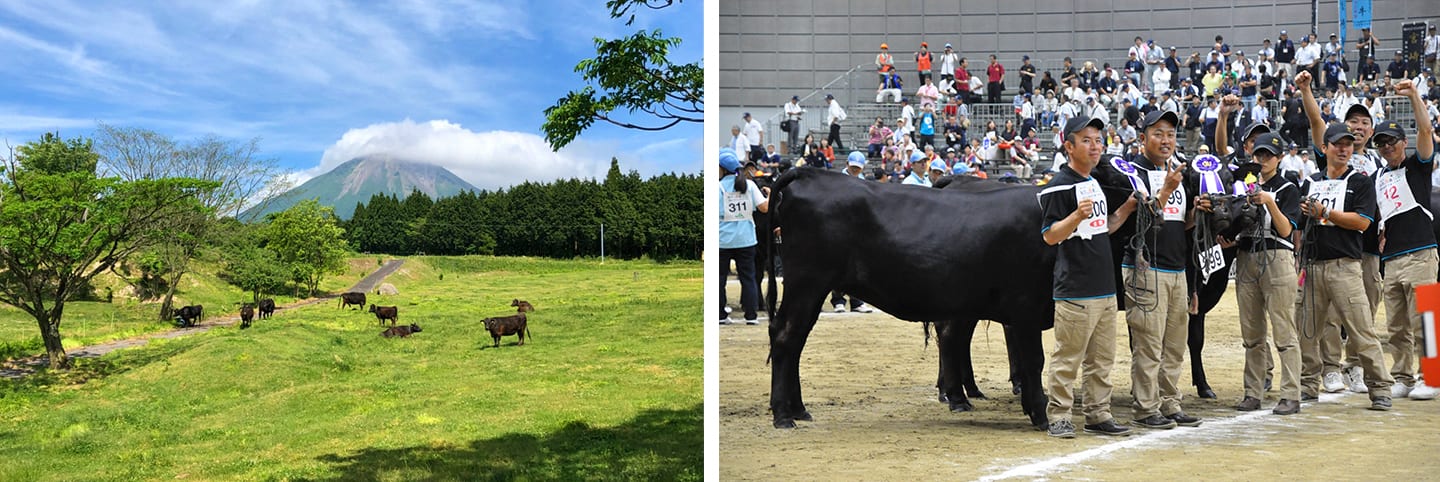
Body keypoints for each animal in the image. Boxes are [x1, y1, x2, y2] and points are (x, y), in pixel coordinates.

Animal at [766, 166, 1134, 431]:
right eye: (1116, 177)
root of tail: (809, 172)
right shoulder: (1026, 307)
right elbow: (1034, 361)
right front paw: (1042, 416)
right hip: (807, 282)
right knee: (785, 337)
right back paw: (783, 415)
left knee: (795, 340)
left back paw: (798, 409)